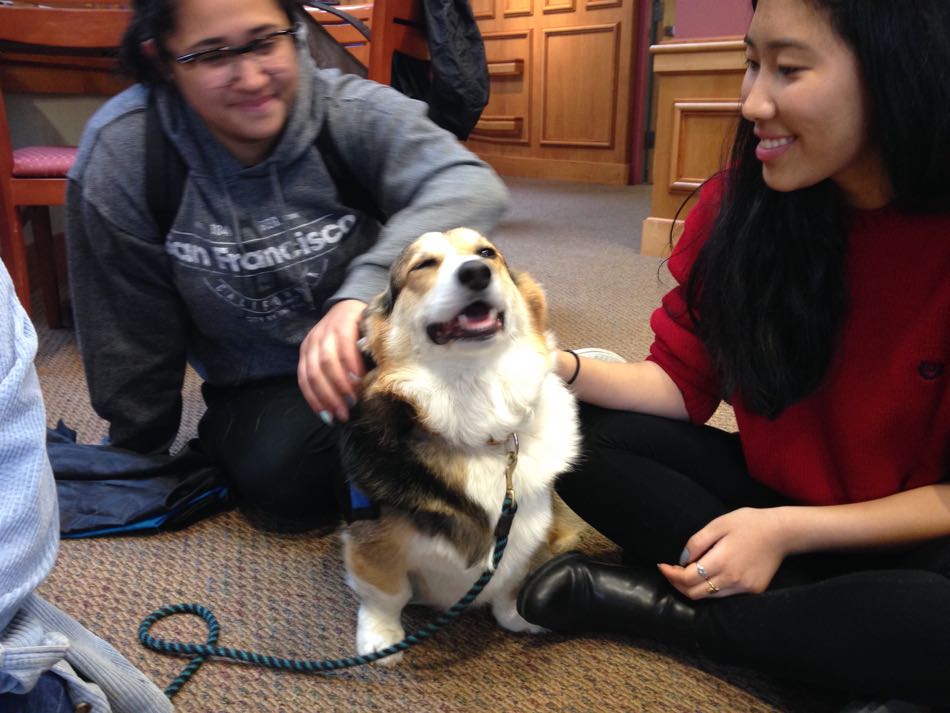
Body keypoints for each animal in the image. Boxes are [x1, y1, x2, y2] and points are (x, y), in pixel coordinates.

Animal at [338, 227, 584, 660]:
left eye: (487, 253)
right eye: (423, 264)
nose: (475, 273)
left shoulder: (532, 528)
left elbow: (511, 582)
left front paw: (517, 614)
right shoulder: (373, 540)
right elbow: (386, 594)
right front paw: (381, 640)